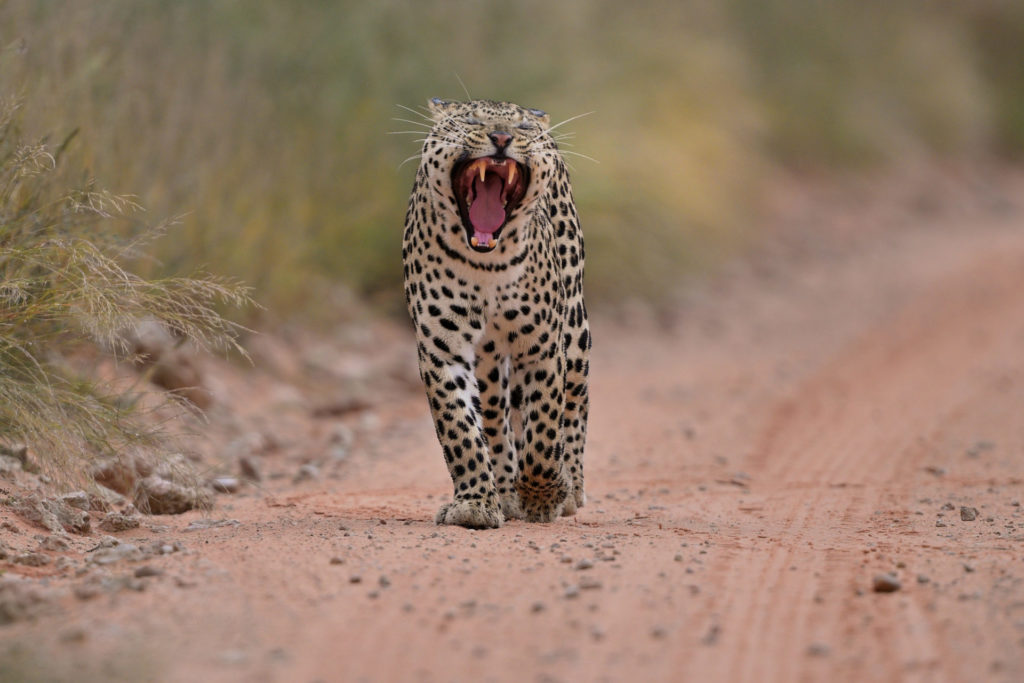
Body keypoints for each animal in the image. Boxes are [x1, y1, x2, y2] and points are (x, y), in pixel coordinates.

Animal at [401, 98, 591, 529]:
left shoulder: (541, 345)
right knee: (495, 419)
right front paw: (475, 504)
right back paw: (503, 491)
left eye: (521, 128)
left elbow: (543, 429)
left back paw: (571, 487)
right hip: (489, 362)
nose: (502, 138)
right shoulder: (442, 348)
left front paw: (544, 495)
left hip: (575, 331)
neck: (486, 263)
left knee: (574, 405)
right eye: (471, 120)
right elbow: (460, 430)